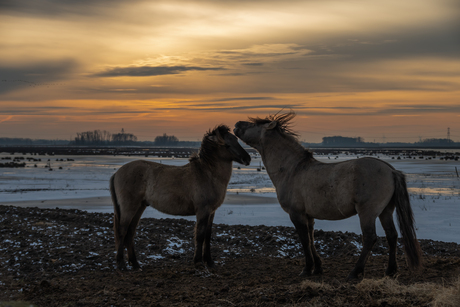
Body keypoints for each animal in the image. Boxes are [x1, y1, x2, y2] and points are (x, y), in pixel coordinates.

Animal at [109, 124, 250, 270]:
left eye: (236, 139)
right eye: (227, 145)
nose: (247, 159)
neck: (207, 174)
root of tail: (117, 173)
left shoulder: (211, 212)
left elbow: (208, 235)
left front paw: (209, 261)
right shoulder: (203, 210)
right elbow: (200, 235)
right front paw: (198, 262)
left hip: (139, 207)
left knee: (130, 232)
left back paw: (135, 264)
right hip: (129, 207)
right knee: (122, 231)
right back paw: (121, 264)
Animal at [235, 112, 422, 280]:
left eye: (255, 123)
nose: (236, 124)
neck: (292, 169)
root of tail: (391, 171)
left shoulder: (296, 214)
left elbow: (304, 241)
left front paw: (307, 270)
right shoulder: (308, 216)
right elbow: (311, 240)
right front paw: (318, 268)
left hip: (367, 213)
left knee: (370, 238)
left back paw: (355, 272)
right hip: (385, 211)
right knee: (392, 236)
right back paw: (390, 271)